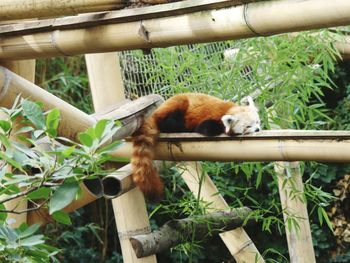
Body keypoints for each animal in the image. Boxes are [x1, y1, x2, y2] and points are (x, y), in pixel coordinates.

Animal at [131, 93, 260, 202]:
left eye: (257, 122)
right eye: (248, 126)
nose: (258, 129)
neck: (228, 110)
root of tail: (156, 112)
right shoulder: (210, 120)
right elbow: (206, 128)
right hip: (176, 107)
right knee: (169, 122)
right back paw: (180, 128)